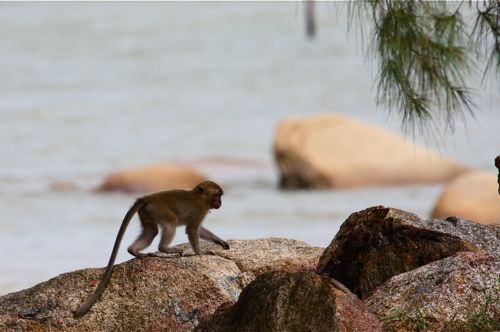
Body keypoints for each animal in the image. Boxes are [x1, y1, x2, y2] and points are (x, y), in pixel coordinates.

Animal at [73, 180, 229, 318]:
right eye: (217, 195)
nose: (220, 203)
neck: (200, 198)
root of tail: (148, 197)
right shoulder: (199, 210)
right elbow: (192, 229)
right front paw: (199, 253)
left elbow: (199, 230)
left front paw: (219, 241)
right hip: (158, 210)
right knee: (171, 222)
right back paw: (165, 249)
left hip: (146, 212)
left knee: (151, 230)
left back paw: (134, 251)